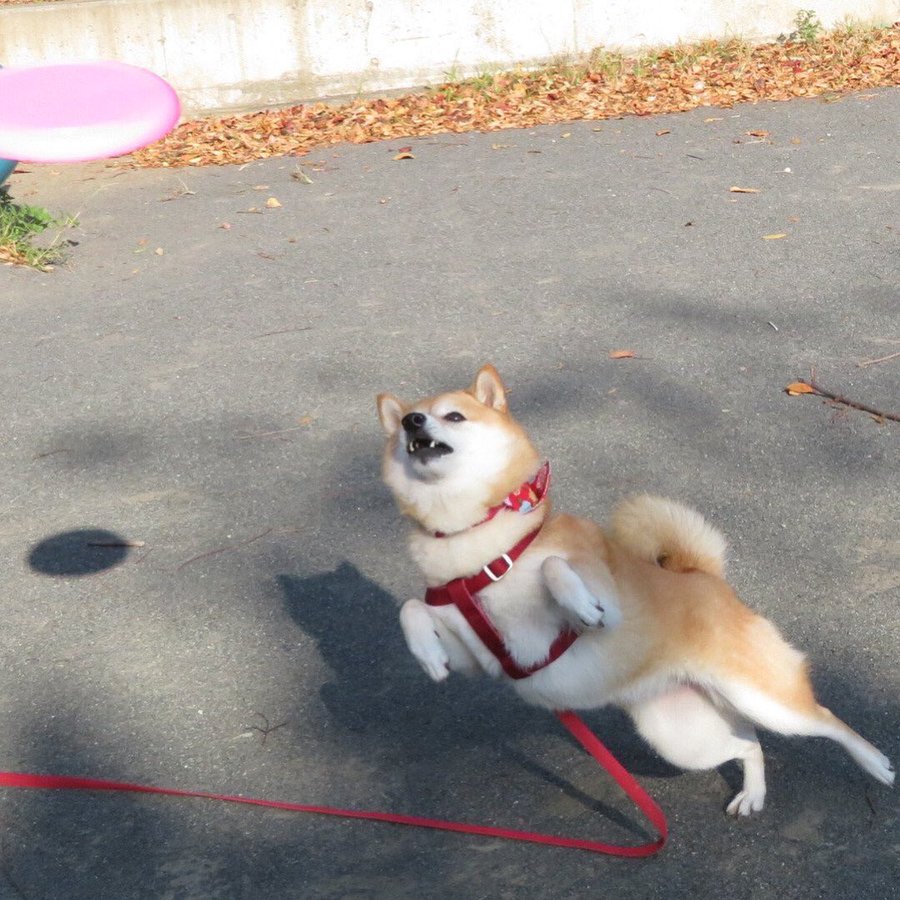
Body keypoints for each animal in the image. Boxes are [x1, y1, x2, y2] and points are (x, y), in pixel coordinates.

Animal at [376, 362, 896, 812]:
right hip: (681, 738)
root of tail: (704, 576)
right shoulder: (479, 657)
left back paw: (875, 762)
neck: (479, 546)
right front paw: (427, 654)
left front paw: (577, 602)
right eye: (404, 424)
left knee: (826, 720)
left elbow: (554, 567)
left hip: (764, 699)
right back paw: (753, 793)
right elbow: (411, 608)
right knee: (749, 744)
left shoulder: (609, 601)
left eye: (454, 416)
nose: (412, 421)